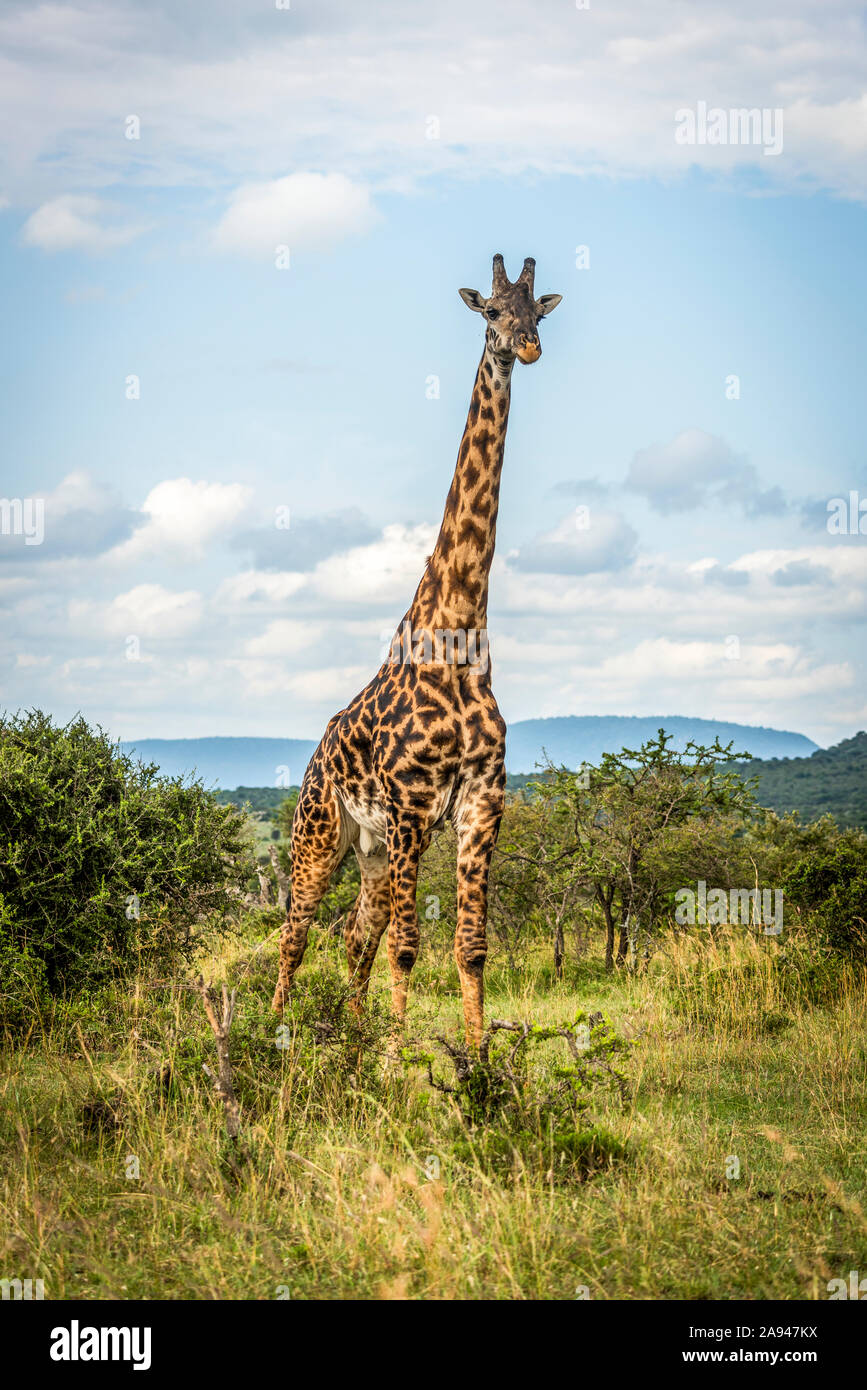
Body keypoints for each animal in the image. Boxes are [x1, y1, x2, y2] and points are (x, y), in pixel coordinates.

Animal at [273, 255, 566, 1045]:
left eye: (539, 311)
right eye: (490, 311)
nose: (526, 348)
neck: (458, 633)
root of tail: (316, 753)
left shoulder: (479, 805)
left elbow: (469, 947)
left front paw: (477, 1062)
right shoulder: (410, 804)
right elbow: (408, 948)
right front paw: (402, 1064)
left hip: (373, 849)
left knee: (354, 933)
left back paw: (349, 1038)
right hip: (321, 830)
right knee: (296, 932)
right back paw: (271, 1035)